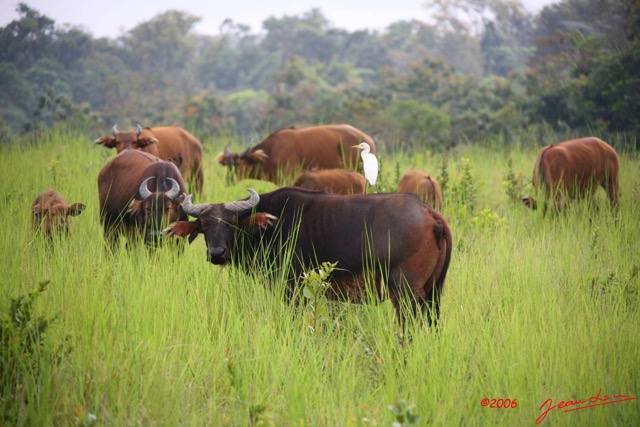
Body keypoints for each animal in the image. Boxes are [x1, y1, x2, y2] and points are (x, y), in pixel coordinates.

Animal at [166, 188, 456, 328]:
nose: (217, 253)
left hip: (405, 293)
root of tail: (429, 213)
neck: (270, 225)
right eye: (204, 224)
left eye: (232, 223)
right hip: (433, 294)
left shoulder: (292, 290)